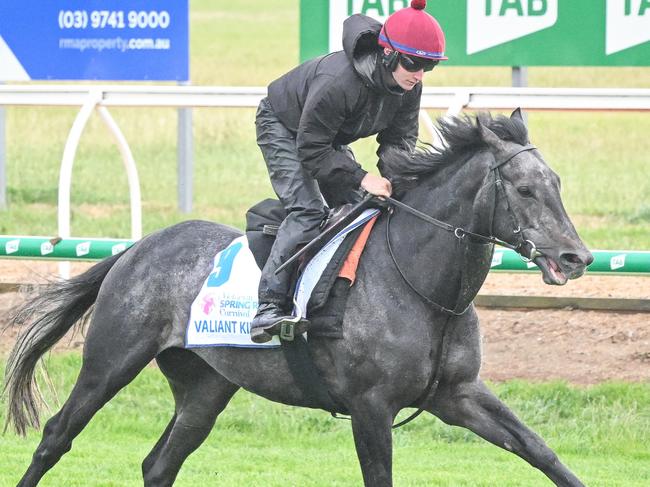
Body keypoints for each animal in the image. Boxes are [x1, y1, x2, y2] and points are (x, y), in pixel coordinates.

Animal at [5, 110, 592, 487]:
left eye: (559, 184)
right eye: (524, 190)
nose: (576, 257)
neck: (423, 289)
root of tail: (137, 248)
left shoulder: (458, 394)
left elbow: (541, 451)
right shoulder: (370, 406)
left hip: (205, 387)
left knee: (159, 464)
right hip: (112, 361)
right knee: (56, 436)